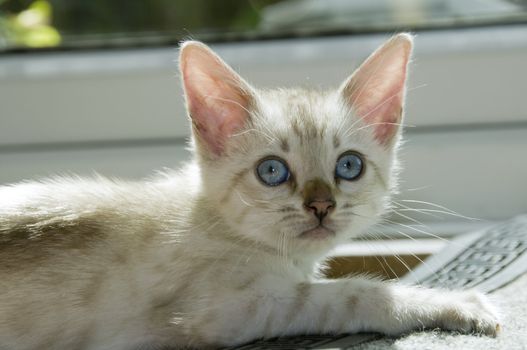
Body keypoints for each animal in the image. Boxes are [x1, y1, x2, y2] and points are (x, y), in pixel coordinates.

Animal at [0, 34, 502, 350]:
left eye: (349, 166)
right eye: (272, 171)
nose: (321, 205)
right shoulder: (229, 309)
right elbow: (353, 294)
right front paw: (455, 303)